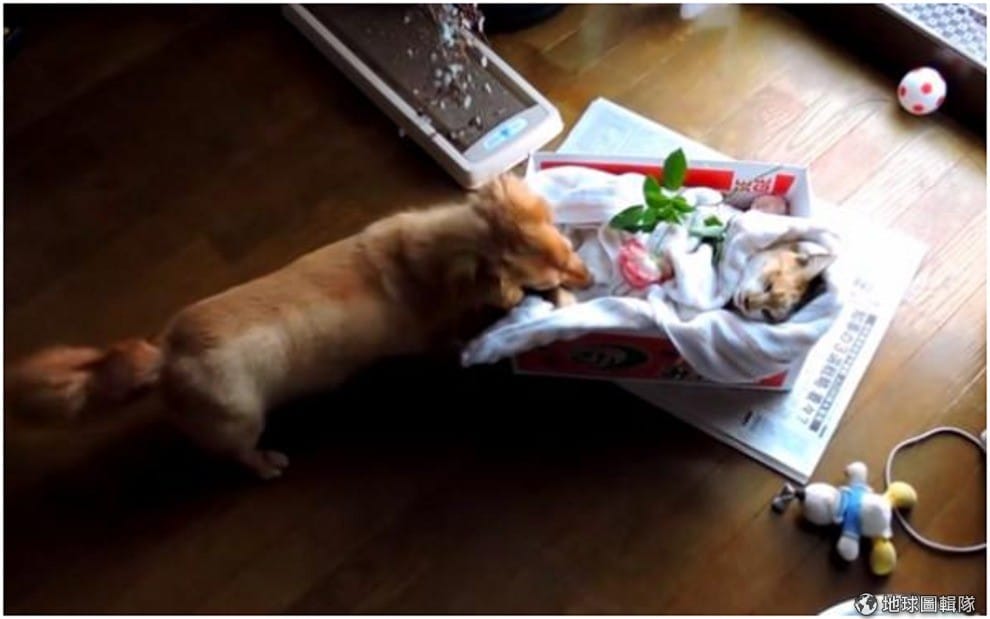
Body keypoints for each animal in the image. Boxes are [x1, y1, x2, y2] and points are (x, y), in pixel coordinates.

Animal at [5, 174, 592, 479]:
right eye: (549, 276)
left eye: (567, 248)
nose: (585, 276)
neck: (435, 255)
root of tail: (165, 355)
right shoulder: (429, 337)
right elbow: (454, 339)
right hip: (239, 420)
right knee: (239, 453)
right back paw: (268, 464)